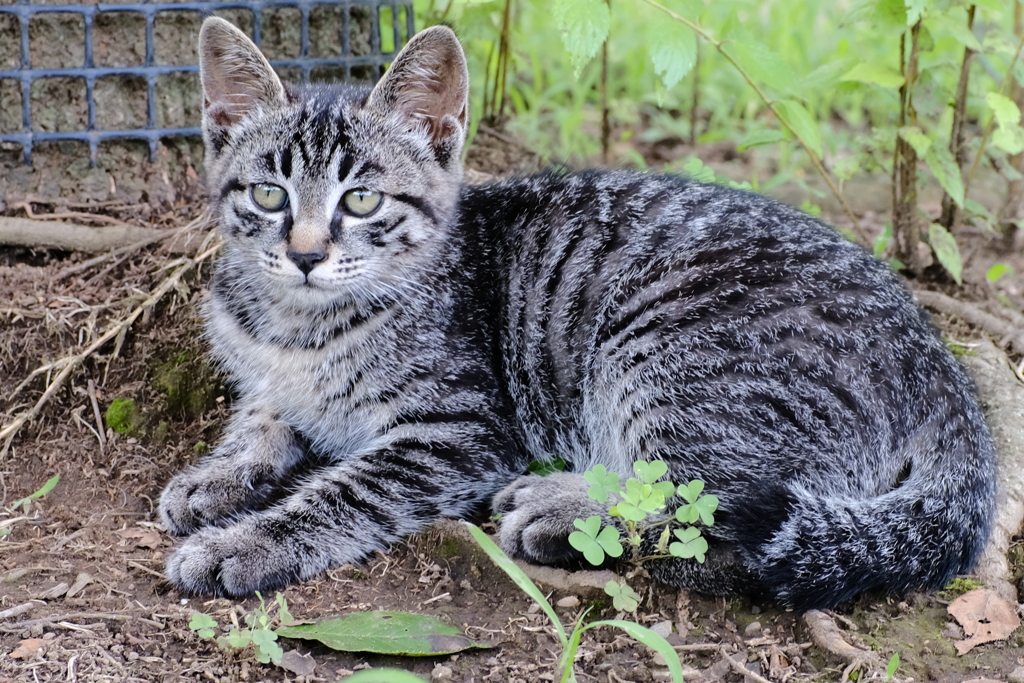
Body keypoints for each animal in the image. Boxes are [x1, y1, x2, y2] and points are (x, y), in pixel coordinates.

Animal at [155, 17, 995, 610]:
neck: (295, 324)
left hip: (662, 349)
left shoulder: (459, 429)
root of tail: (936, 356)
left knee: (702, 509)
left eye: (360, 199)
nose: (303, 253)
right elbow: (262, 418)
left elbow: (346, 489)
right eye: (270, 194)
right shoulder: (269, 376)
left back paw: (560, 509)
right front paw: (219, 472)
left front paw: (245, 542)